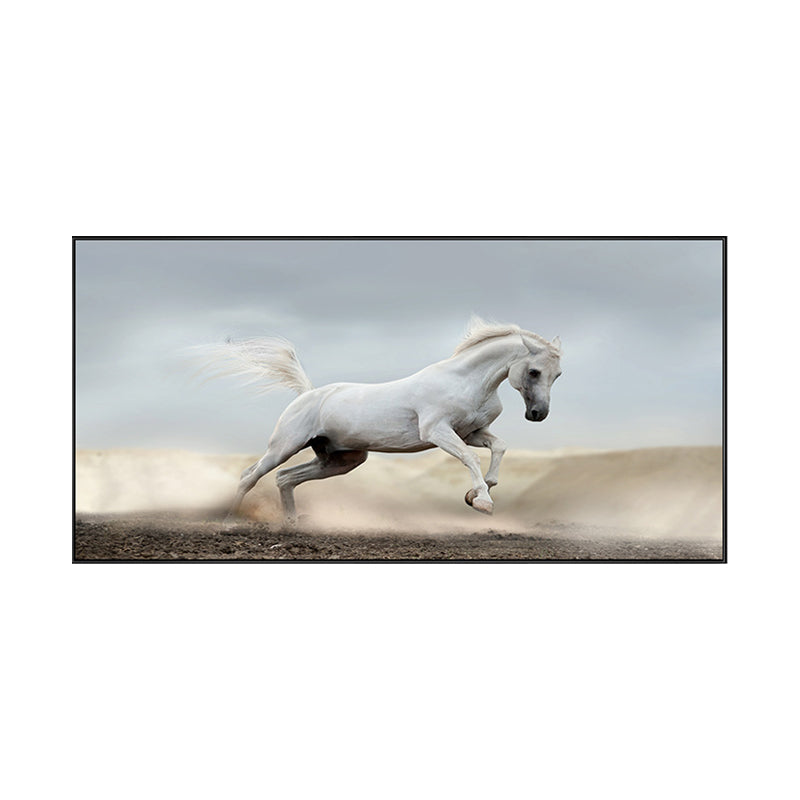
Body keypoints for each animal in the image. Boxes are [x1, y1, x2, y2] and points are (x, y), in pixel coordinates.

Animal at [204, 318, 562, 521]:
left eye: (557, 375)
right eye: (534, 371)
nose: (537, 414)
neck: (466, 381)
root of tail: (308, 393)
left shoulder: (471, 431)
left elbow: (499, 447)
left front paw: (479, 491)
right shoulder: (438, 431)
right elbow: (470, 458)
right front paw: (483, 502)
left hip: (341, 459)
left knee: (285, 479)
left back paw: (292, 525)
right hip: (284, 446)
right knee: (250, 476)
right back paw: (228, 520)